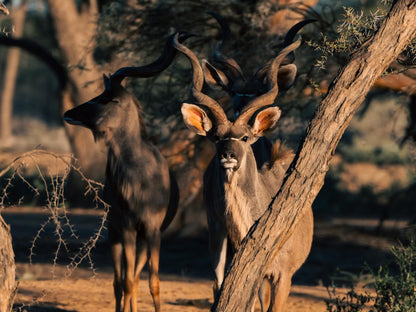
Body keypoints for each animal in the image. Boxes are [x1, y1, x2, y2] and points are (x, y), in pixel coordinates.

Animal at [63, 33, 188, 310]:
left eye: (108, 98)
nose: (68, 113)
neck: (139, 177)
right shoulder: (127, 227)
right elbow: (127, 282)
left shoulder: (152, 230)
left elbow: (153, 283)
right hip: (115, 234)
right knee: (120, 282)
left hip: (141, 239)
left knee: (135, 279)